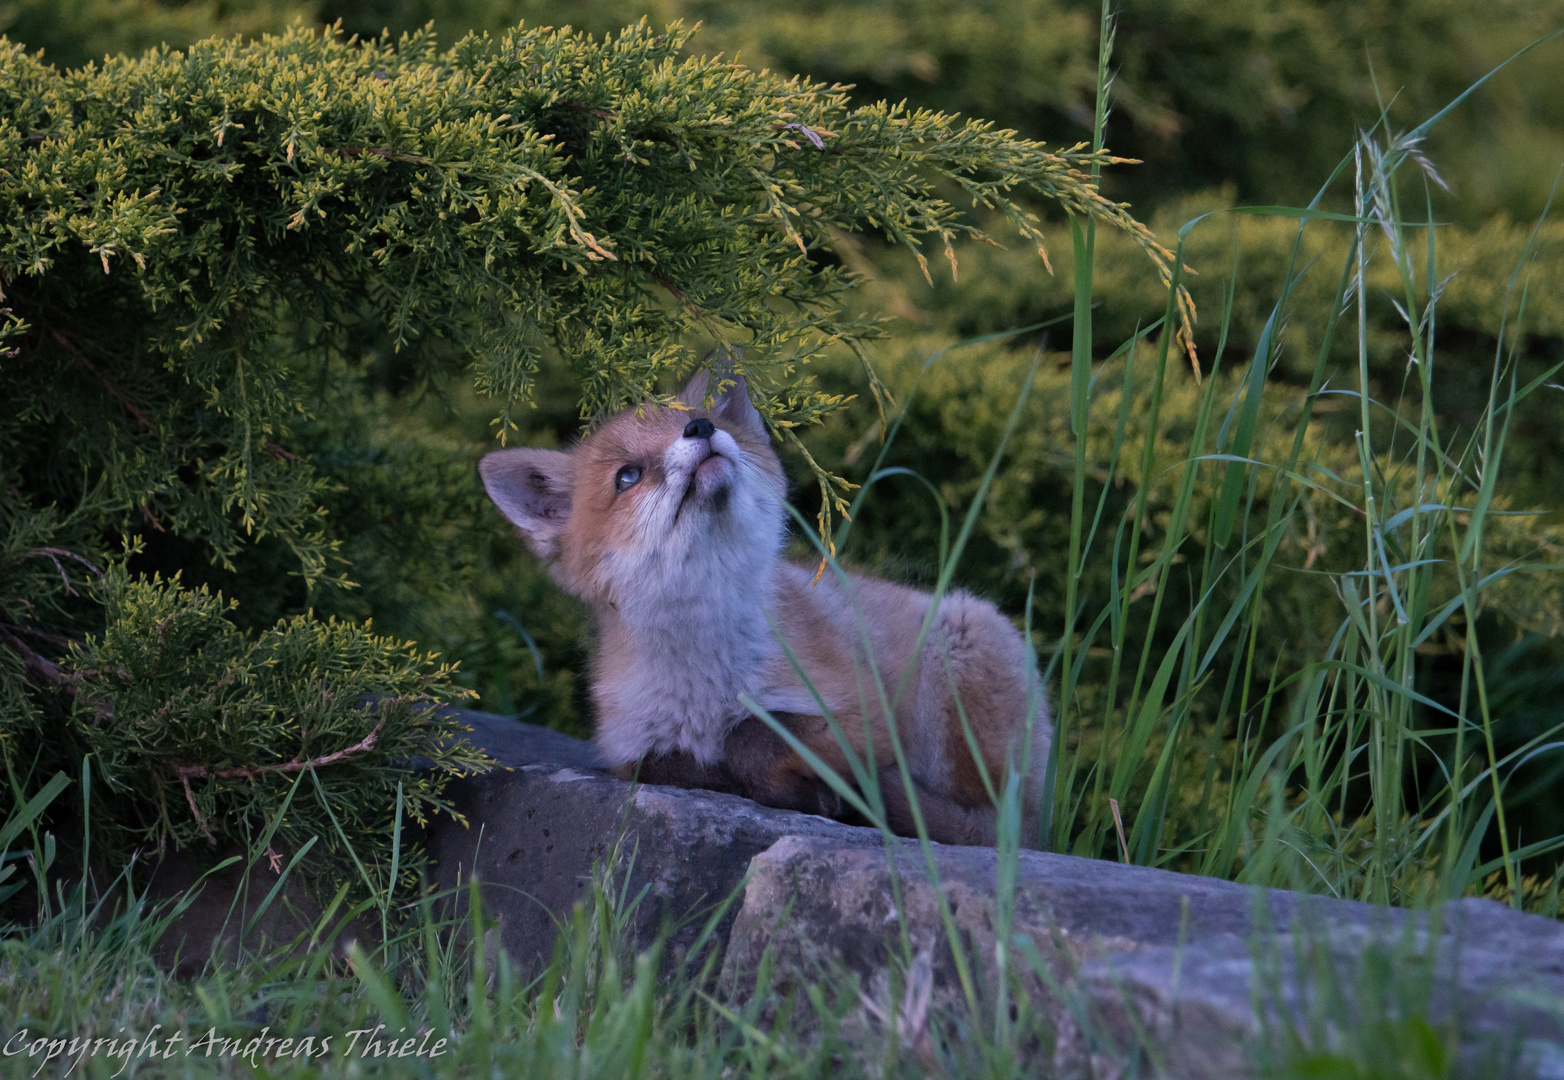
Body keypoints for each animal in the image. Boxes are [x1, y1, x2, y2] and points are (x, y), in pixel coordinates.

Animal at [475, 367, 1051, 850]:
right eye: (627, 477)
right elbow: (673, 764)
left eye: (690, 419)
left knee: (987, 828)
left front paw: (812, 789)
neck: (708, 679)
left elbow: (751, 734)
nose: (702, 427)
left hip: (963, 640)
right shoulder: (630, 750)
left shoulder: (861, 713)